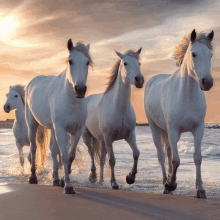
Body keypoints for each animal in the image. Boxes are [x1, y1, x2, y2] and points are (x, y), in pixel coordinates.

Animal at [25, 39, 92, 194]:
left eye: (87, 62)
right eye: (70, 61)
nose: (80, 89)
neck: (71, 100)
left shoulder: (76, 130)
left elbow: (69, 155)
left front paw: (62, 180)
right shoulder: (61, 129)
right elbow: (65, 156)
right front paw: (68, 186)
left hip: (52, 128)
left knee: (54, 151)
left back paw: (55, 179)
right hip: (32, 124)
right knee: (34, 148)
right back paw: (33, 177)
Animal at [79, 48, 144, 189]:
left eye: (139, 63)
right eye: (125, 63)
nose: (139, 80)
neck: (119, 108)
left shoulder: (130, 135)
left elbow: (136, 153)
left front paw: (130, 177)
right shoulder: (109, 137)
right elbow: (112, 160)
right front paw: (114, 183)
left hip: (102, 141)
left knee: (101, 159)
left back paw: (101, 180)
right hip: (87, 136)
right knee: (91, 153)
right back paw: (93, 177)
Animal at [144, 28, 214, 199]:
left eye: (210, 55)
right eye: (193, 54)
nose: (207, 82)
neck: (187, 96)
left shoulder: (198, 129)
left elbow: (197, 158)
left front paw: (200, 189)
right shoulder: (174, 130)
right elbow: (176, 160)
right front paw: (171, 183)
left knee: (168, 153)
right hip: (155, 128)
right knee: (162, 156)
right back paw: (166, 184)